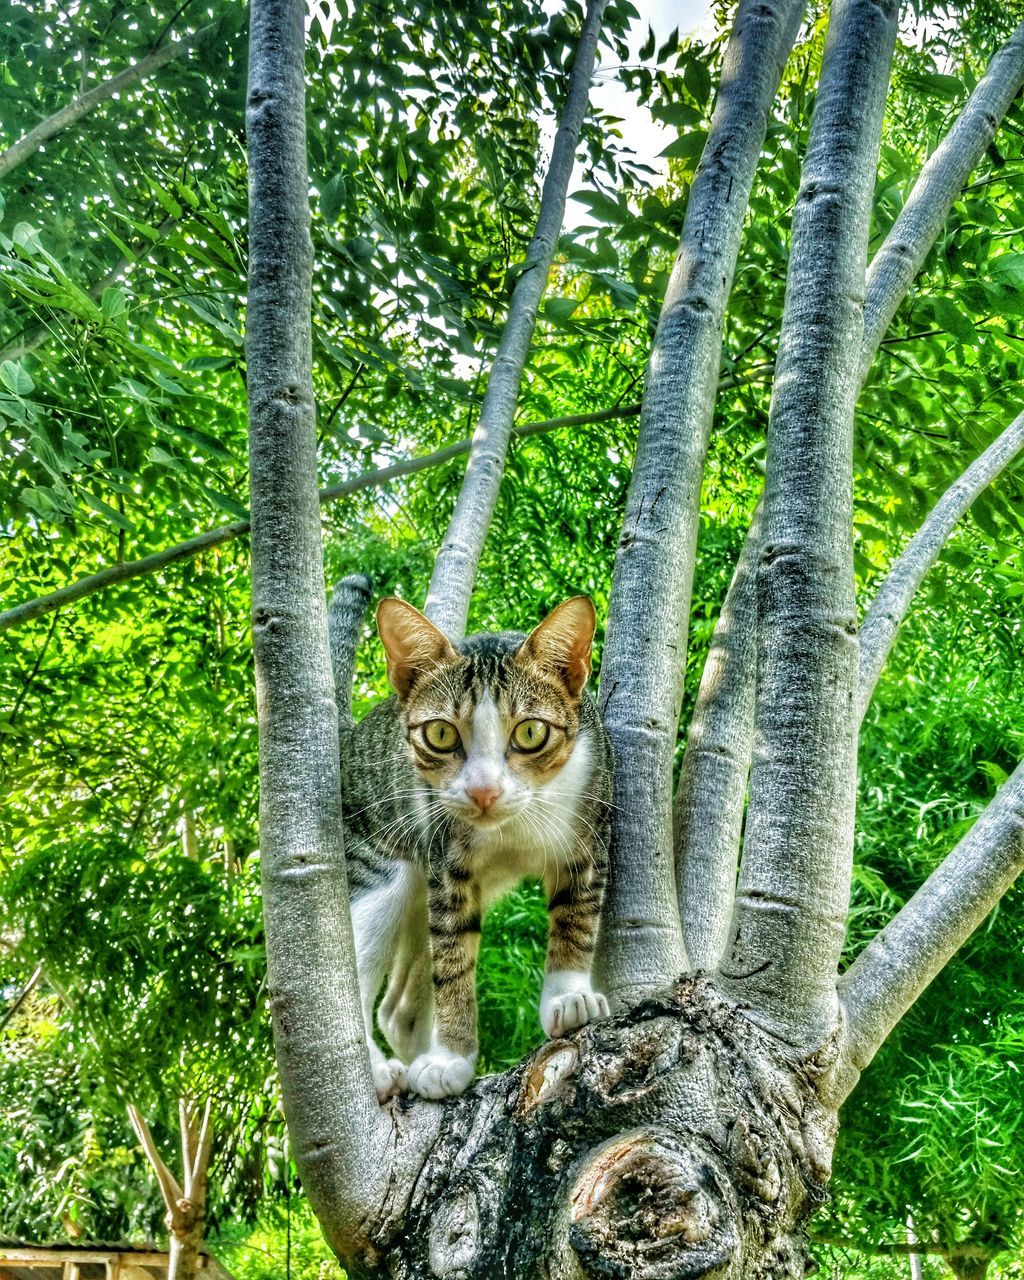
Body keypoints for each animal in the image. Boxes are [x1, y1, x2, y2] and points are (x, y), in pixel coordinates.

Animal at [330, 578, 609, 1100]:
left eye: (531, 732)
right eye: (440, 734)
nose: (483, 790)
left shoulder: (590, 826)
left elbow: (577, 913)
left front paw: (569, 996)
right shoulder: (446, 864)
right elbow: (454, 958)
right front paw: (452, 1056)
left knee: (398, 1008)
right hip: (383, 860)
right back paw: (377, 1067)